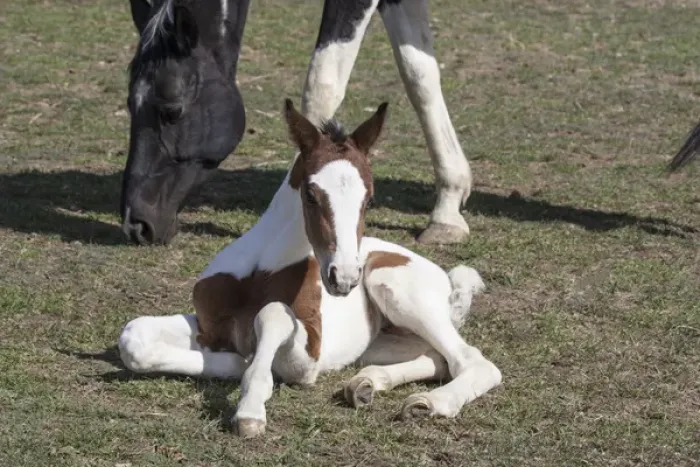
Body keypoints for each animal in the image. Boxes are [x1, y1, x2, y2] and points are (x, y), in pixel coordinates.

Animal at [118, 99, 502, 438]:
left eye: (370, 199)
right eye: (311, 195)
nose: (344, 278)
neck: (261, 268)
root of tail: (446, 279)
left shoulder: (308, 356)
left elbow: (272, 315)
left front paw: (250, 405)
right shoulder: (208, 324)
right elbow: (133, 337)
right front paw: (234, 362)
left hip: (390, 283)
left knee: (472, 361)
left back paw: (428, 403)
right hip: (382, 342)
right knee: (434, 358)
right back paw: (366, 384)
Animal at [121, 0, 472, 246]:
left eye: (172, 110)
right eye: (129, 105)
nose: (135, 224)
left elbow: (322, 85)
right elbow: (419, 76)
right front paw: (447, 210)